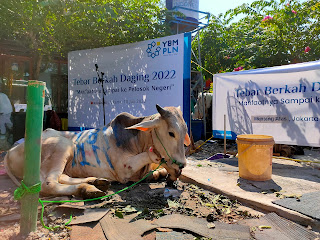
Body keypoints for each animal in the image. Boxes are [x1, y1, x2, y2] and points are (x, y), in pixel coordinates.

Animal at [4, 105, 190, 199]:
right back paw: (86, 189)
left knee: (62, 177)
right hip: (63, 146)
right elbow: (151, 157)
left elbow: (158, 171)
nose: (182, 164)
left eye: (185, 130)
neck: (136, 139)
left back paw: (95, 182)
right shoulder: (123, 171)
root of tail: (10, 150)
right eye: (171, 133)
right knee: (48, 183)